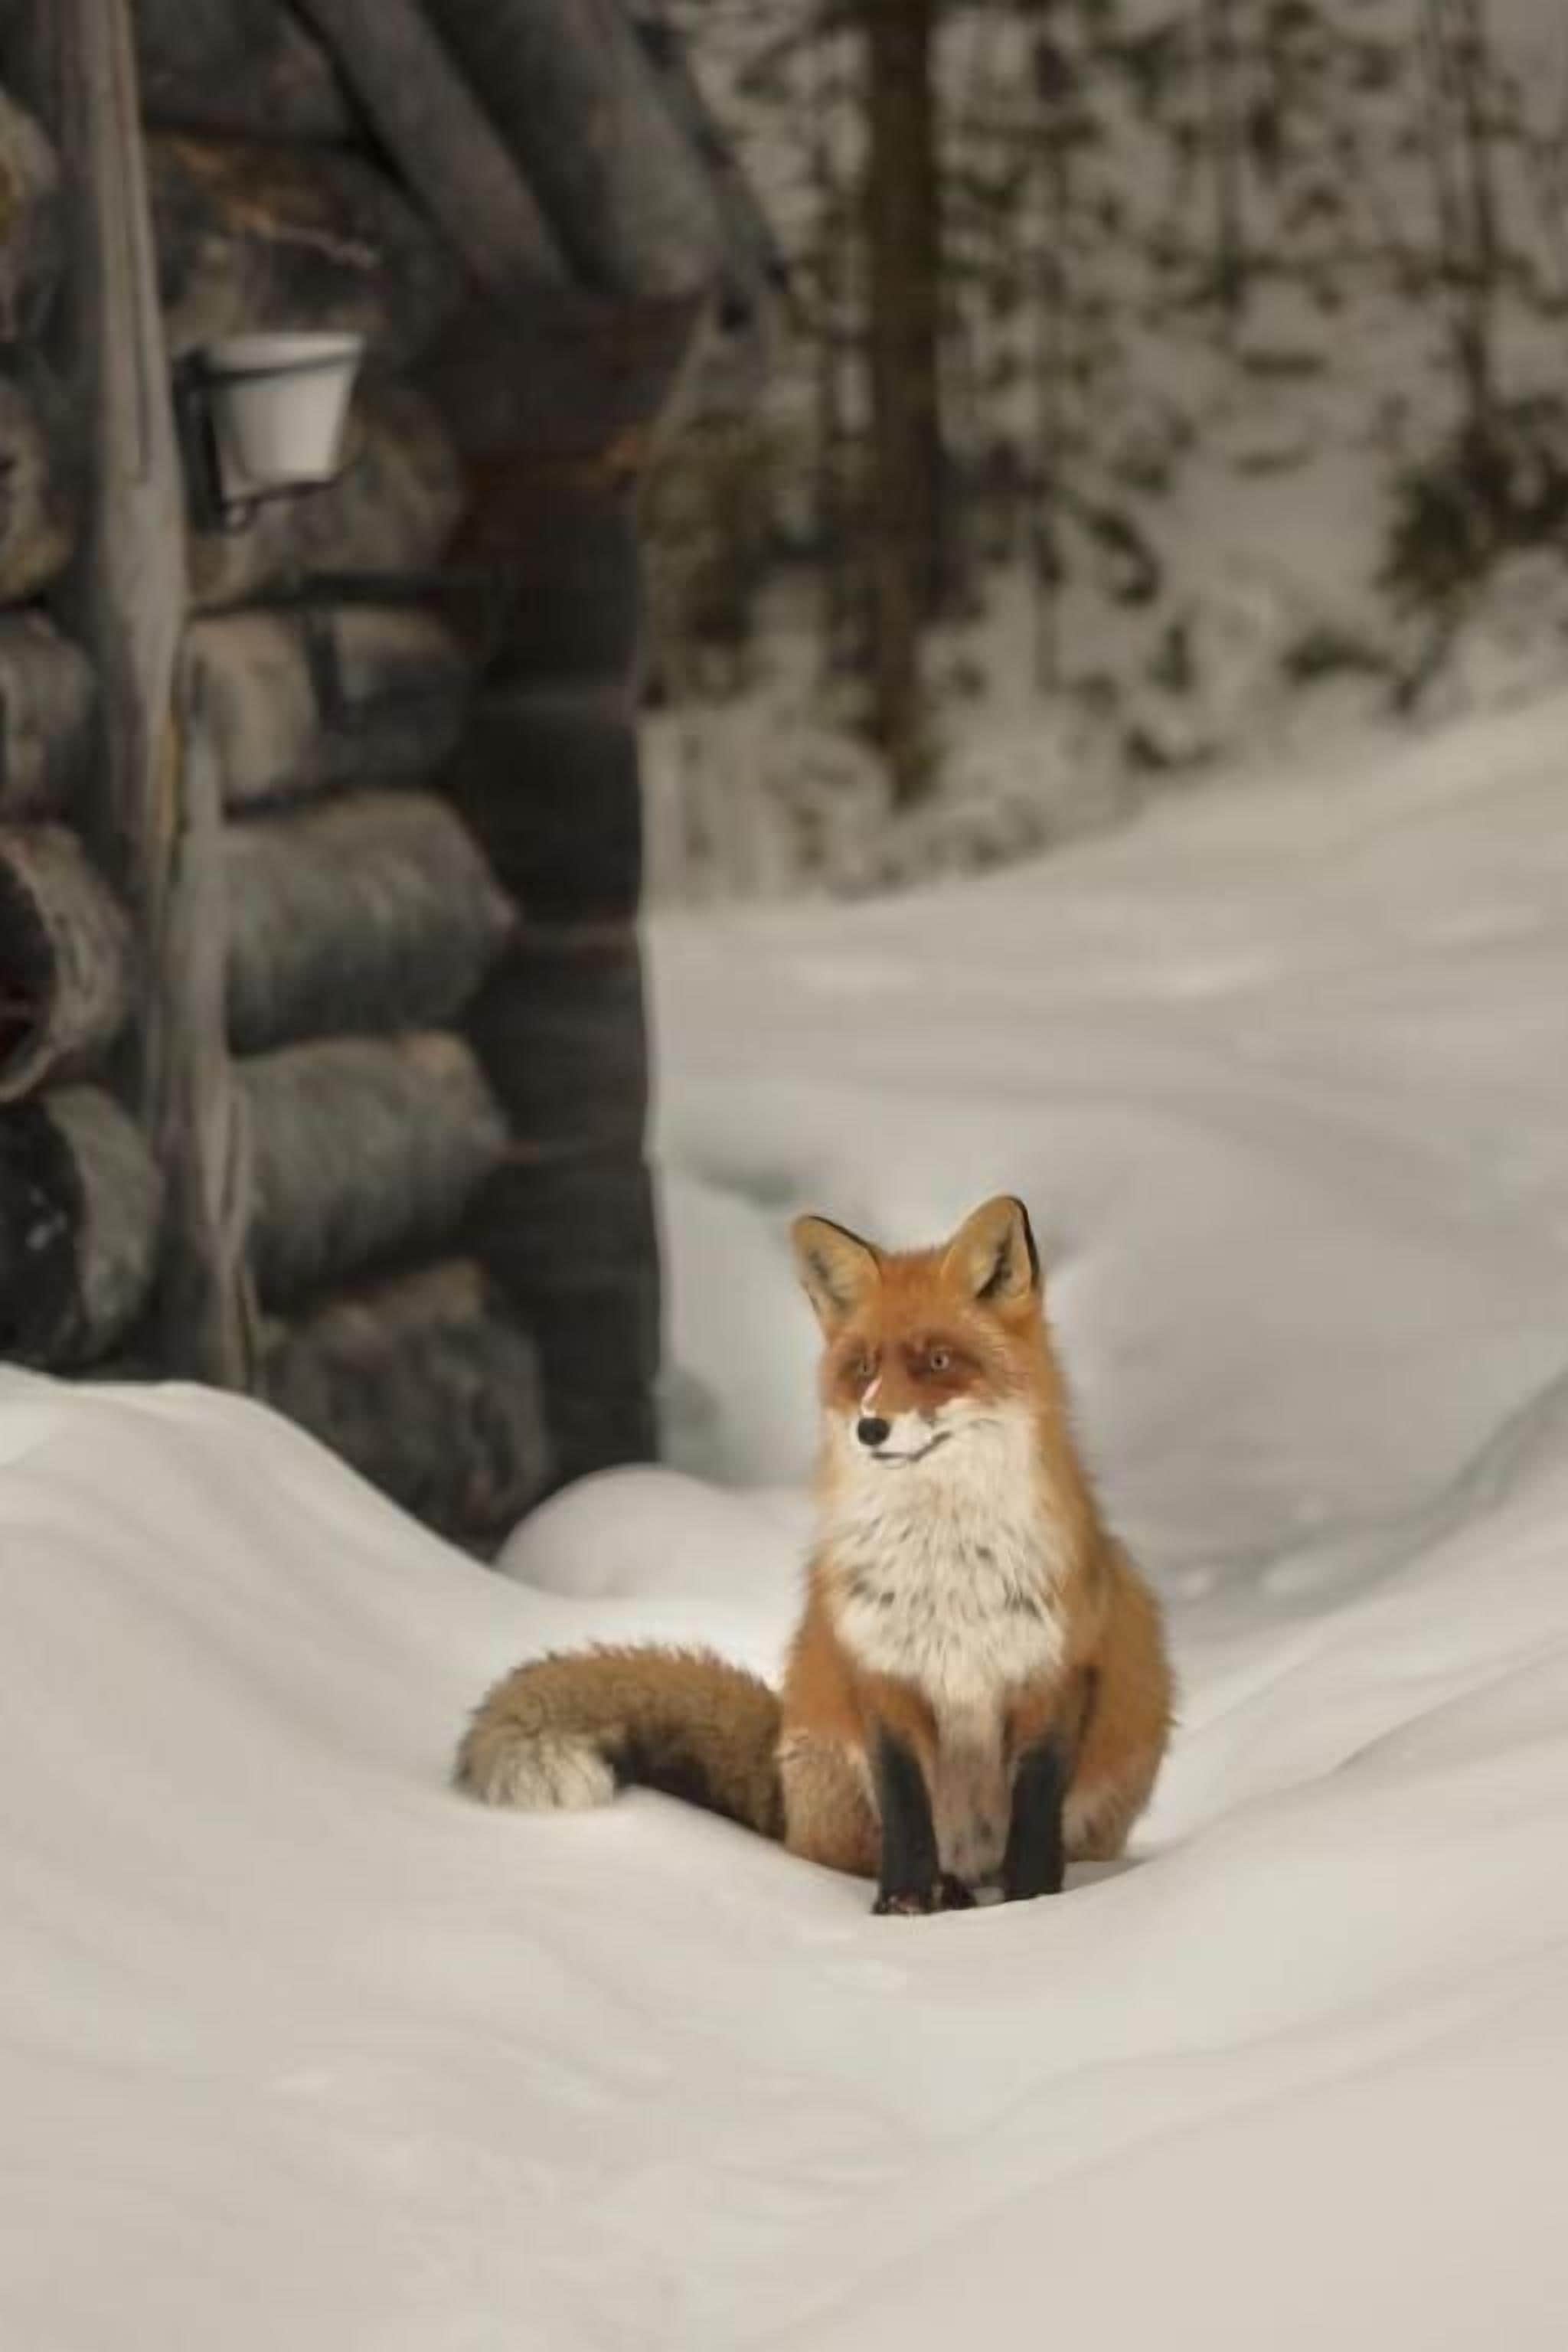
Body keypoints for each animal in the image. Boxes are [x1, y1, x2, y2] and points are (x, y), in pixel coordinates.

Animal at [456, 1195, 1174, 1915]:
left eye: (939, 1361)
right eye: (863, 1368)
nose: (871, 1428)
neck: (945, 1565)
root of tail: (783, 1790)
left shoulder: (1055, 1675)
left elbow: (1035, 1809)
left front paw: (1033, 1905)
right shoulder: (880, 1673)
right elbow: (905, 1807)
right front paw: (903, 1906)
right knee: (847, 1852)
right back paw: (942, 1891)